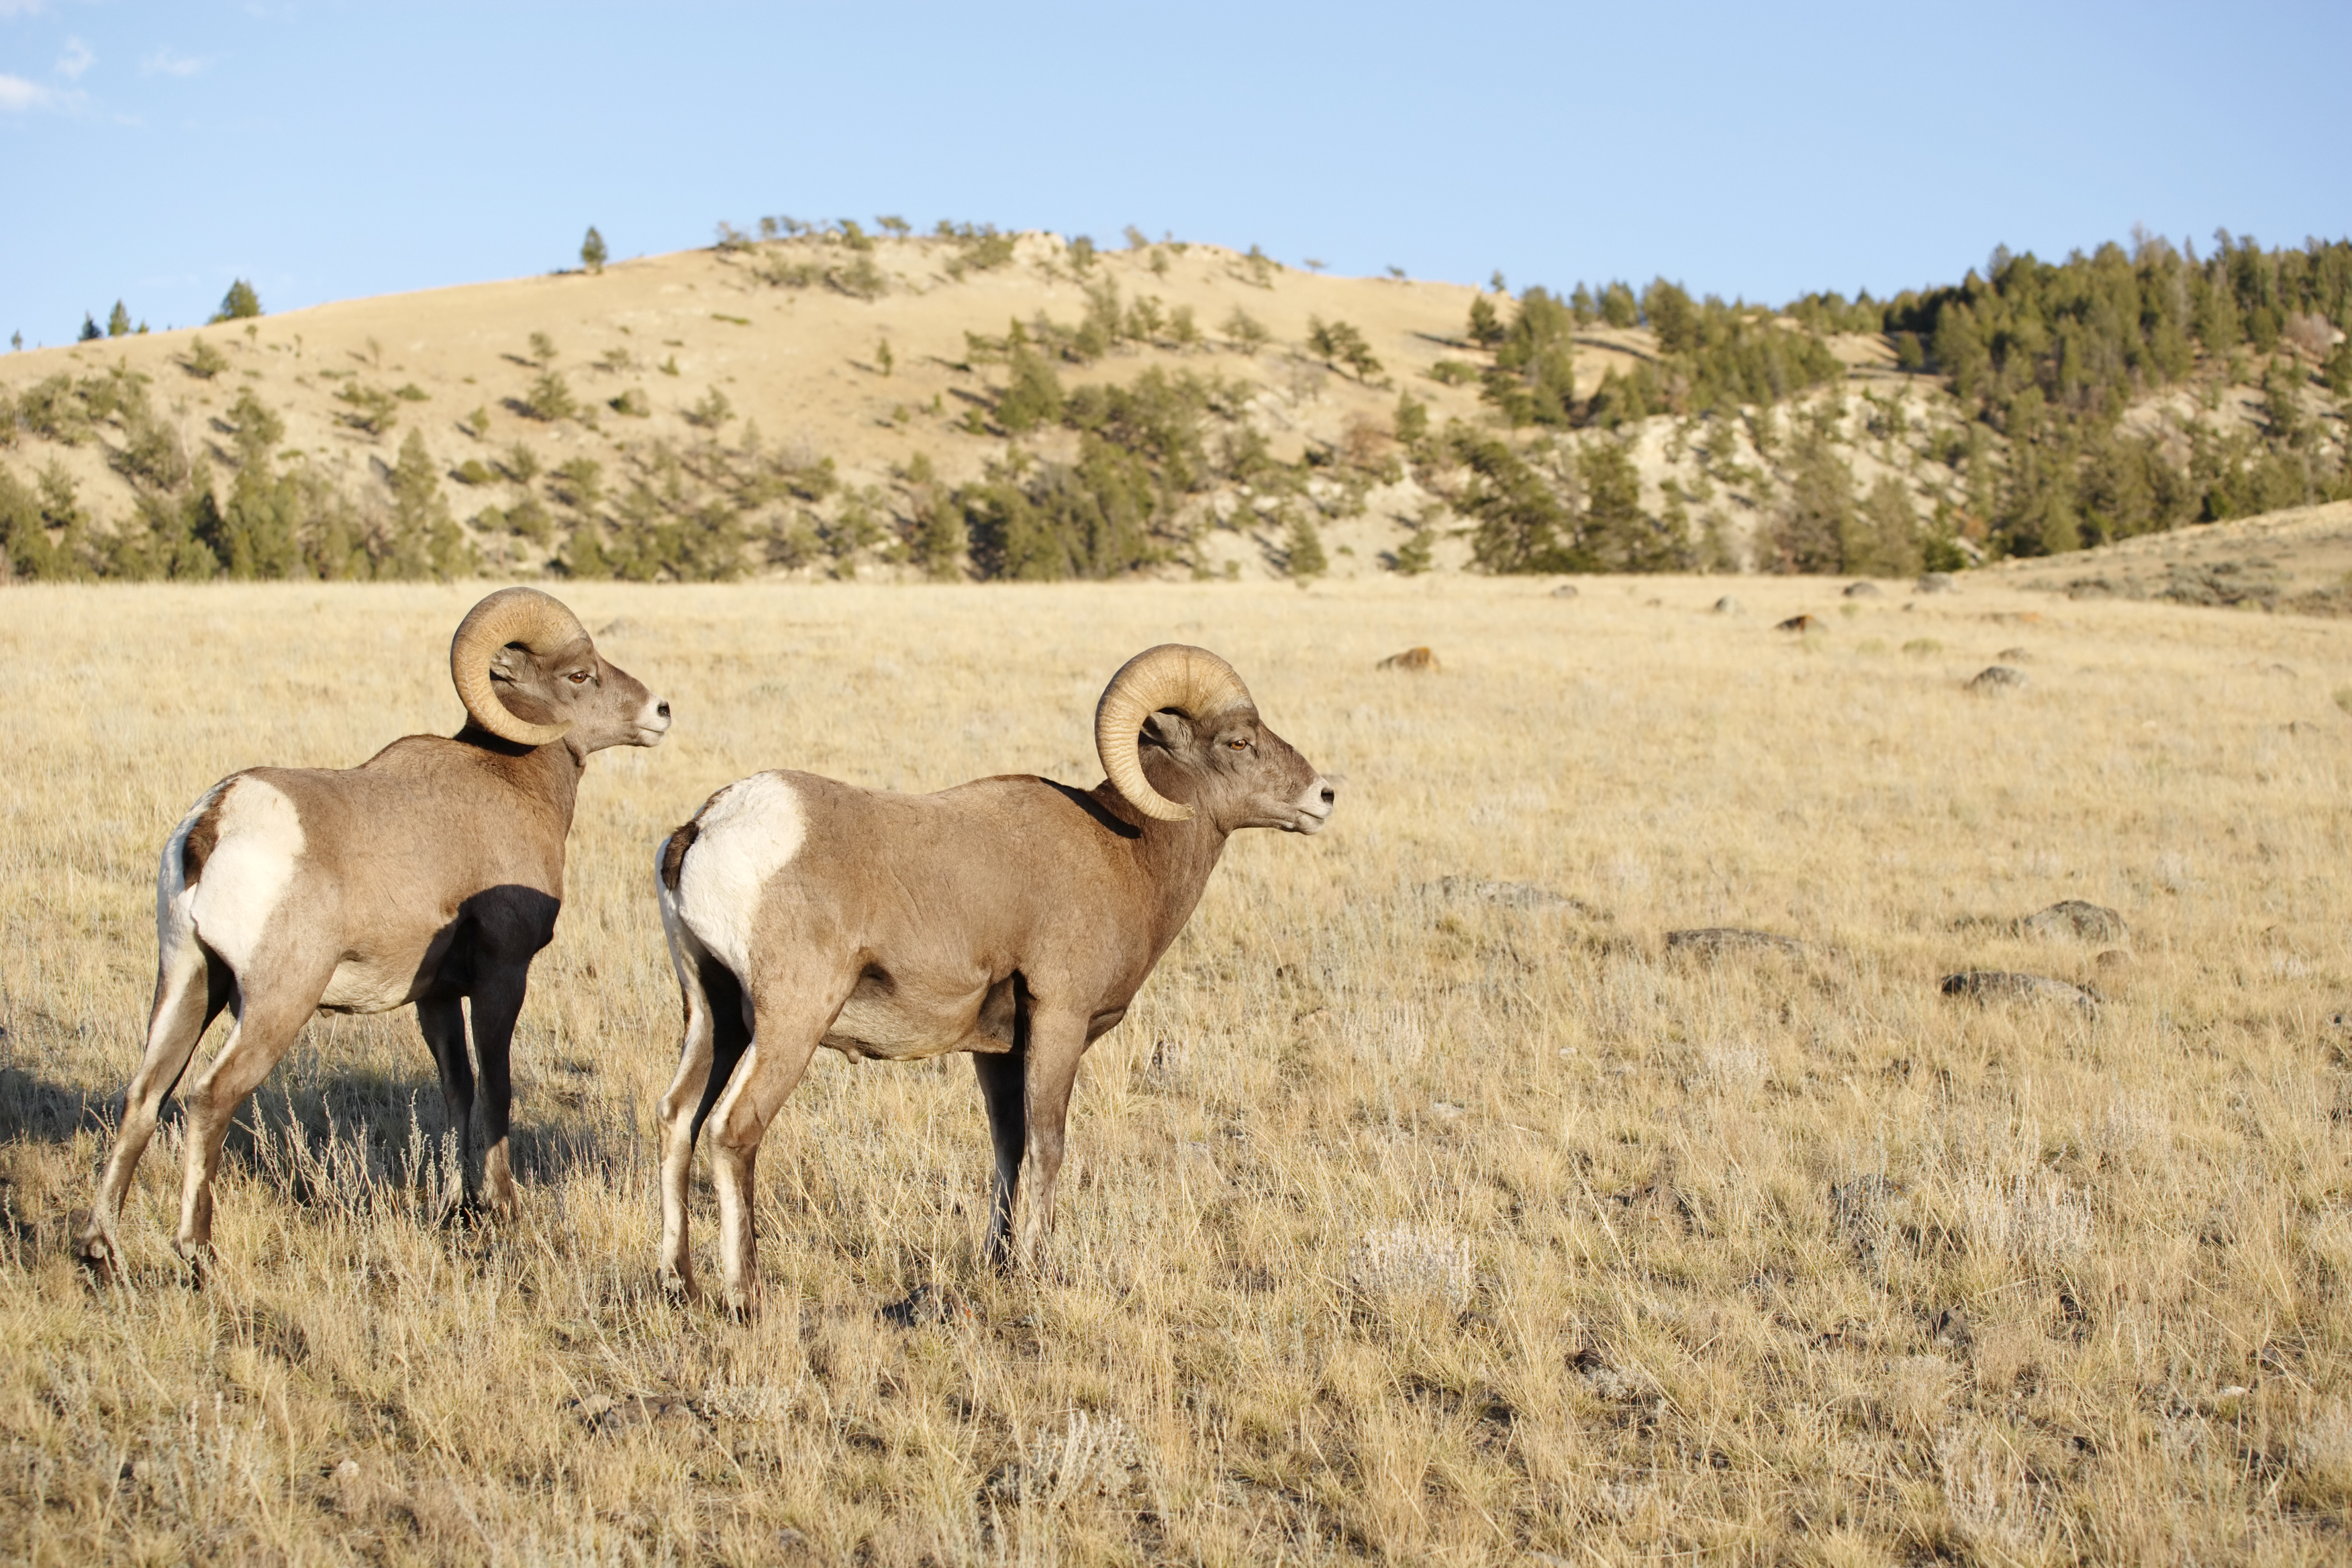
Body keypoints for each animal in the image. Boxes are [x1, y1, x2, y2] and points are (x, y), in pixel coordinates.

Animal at [76, 588, 670, 1279]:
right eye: (579, 675)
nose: (660, 711)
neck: (509, 784)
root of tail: (213, 823)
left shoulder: (436, 997)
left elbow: (458, 1089)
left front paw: (457, 1208)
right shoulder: (502, 975)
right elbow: (497, 1088)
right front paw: (504, 1209)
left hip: (189, 985)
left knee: (143, 1098)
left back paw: (100, 1248)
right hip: (277, 1003)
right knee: (209, 1098)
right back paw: (198, 1251)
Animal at [651, 643, 1337, 1313]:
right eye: (1238, 742)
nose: (1324, 796)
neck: (1126, 854)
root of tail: (706, 827)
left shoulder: (997, 1052)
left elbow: (1007, 1146)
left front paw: (999, 1264)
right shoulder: (1058, 1020)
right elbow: (1048, 1144)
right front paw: (1036, 1269)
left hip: (713, 1017)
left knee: (678, 1119)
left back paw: (679, 1283)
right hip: (790, 1024)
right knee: (734, 1131)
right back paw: (746, 1298)